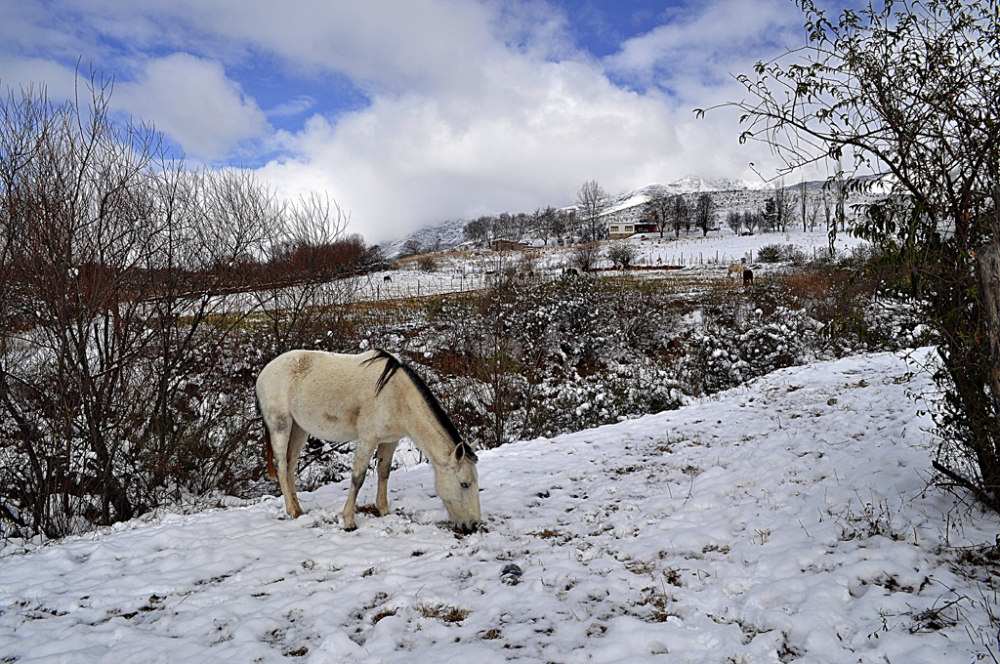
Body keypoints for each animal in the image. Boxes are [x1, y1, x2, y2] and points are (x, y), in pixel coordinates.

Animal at [256, 350, 478, 532]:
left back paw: (298, 509)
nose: (474, 525)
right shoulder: (368, 438)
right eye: (464, 484)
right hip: (281, 425)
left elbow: (384, 472)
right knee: (281, 465)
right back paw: (292, 511)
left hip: (299, 429)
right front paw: (349, 521)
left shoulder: (390, 441)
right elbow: (358, 477)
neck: (396, 395)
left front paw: (384, 511)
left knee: (290, 465)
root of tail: (264, 373)